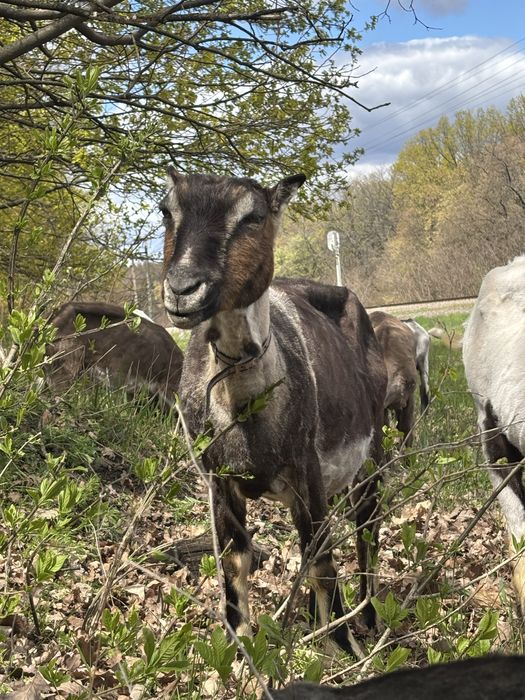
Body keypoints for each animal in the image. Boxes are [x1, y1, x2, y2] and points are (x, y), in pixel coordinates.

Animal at [161, 171, 387, 653]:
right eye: (167, 210)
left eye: (253, 216)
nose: (184, 288)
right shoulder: (219, 479)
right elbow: (235, 561)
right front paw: (238, 646)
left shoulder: (306, 469)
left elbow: (321, 558)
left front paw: (343, 646)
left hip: (372, 451)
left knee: (366, 526)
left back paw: (369, 616)